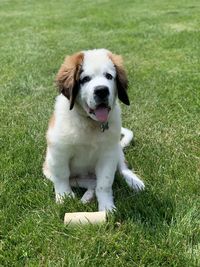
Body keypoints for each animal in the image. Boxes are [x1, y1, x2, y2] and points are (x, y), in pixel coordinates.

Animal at [43, 48, 145, 211]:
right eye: (85, 79)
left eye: (109, 76)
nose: (102, 90)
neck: (90, 123)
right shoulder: (59, 153)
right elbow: (62, 176)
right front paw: (64, 198)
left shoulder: (108, 155)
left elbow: (105, 183)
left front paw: (107, 207)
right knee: (88, 183)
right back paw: (87, 196)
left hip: (116, 149)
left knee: (120, 169)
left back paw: (133, 181)